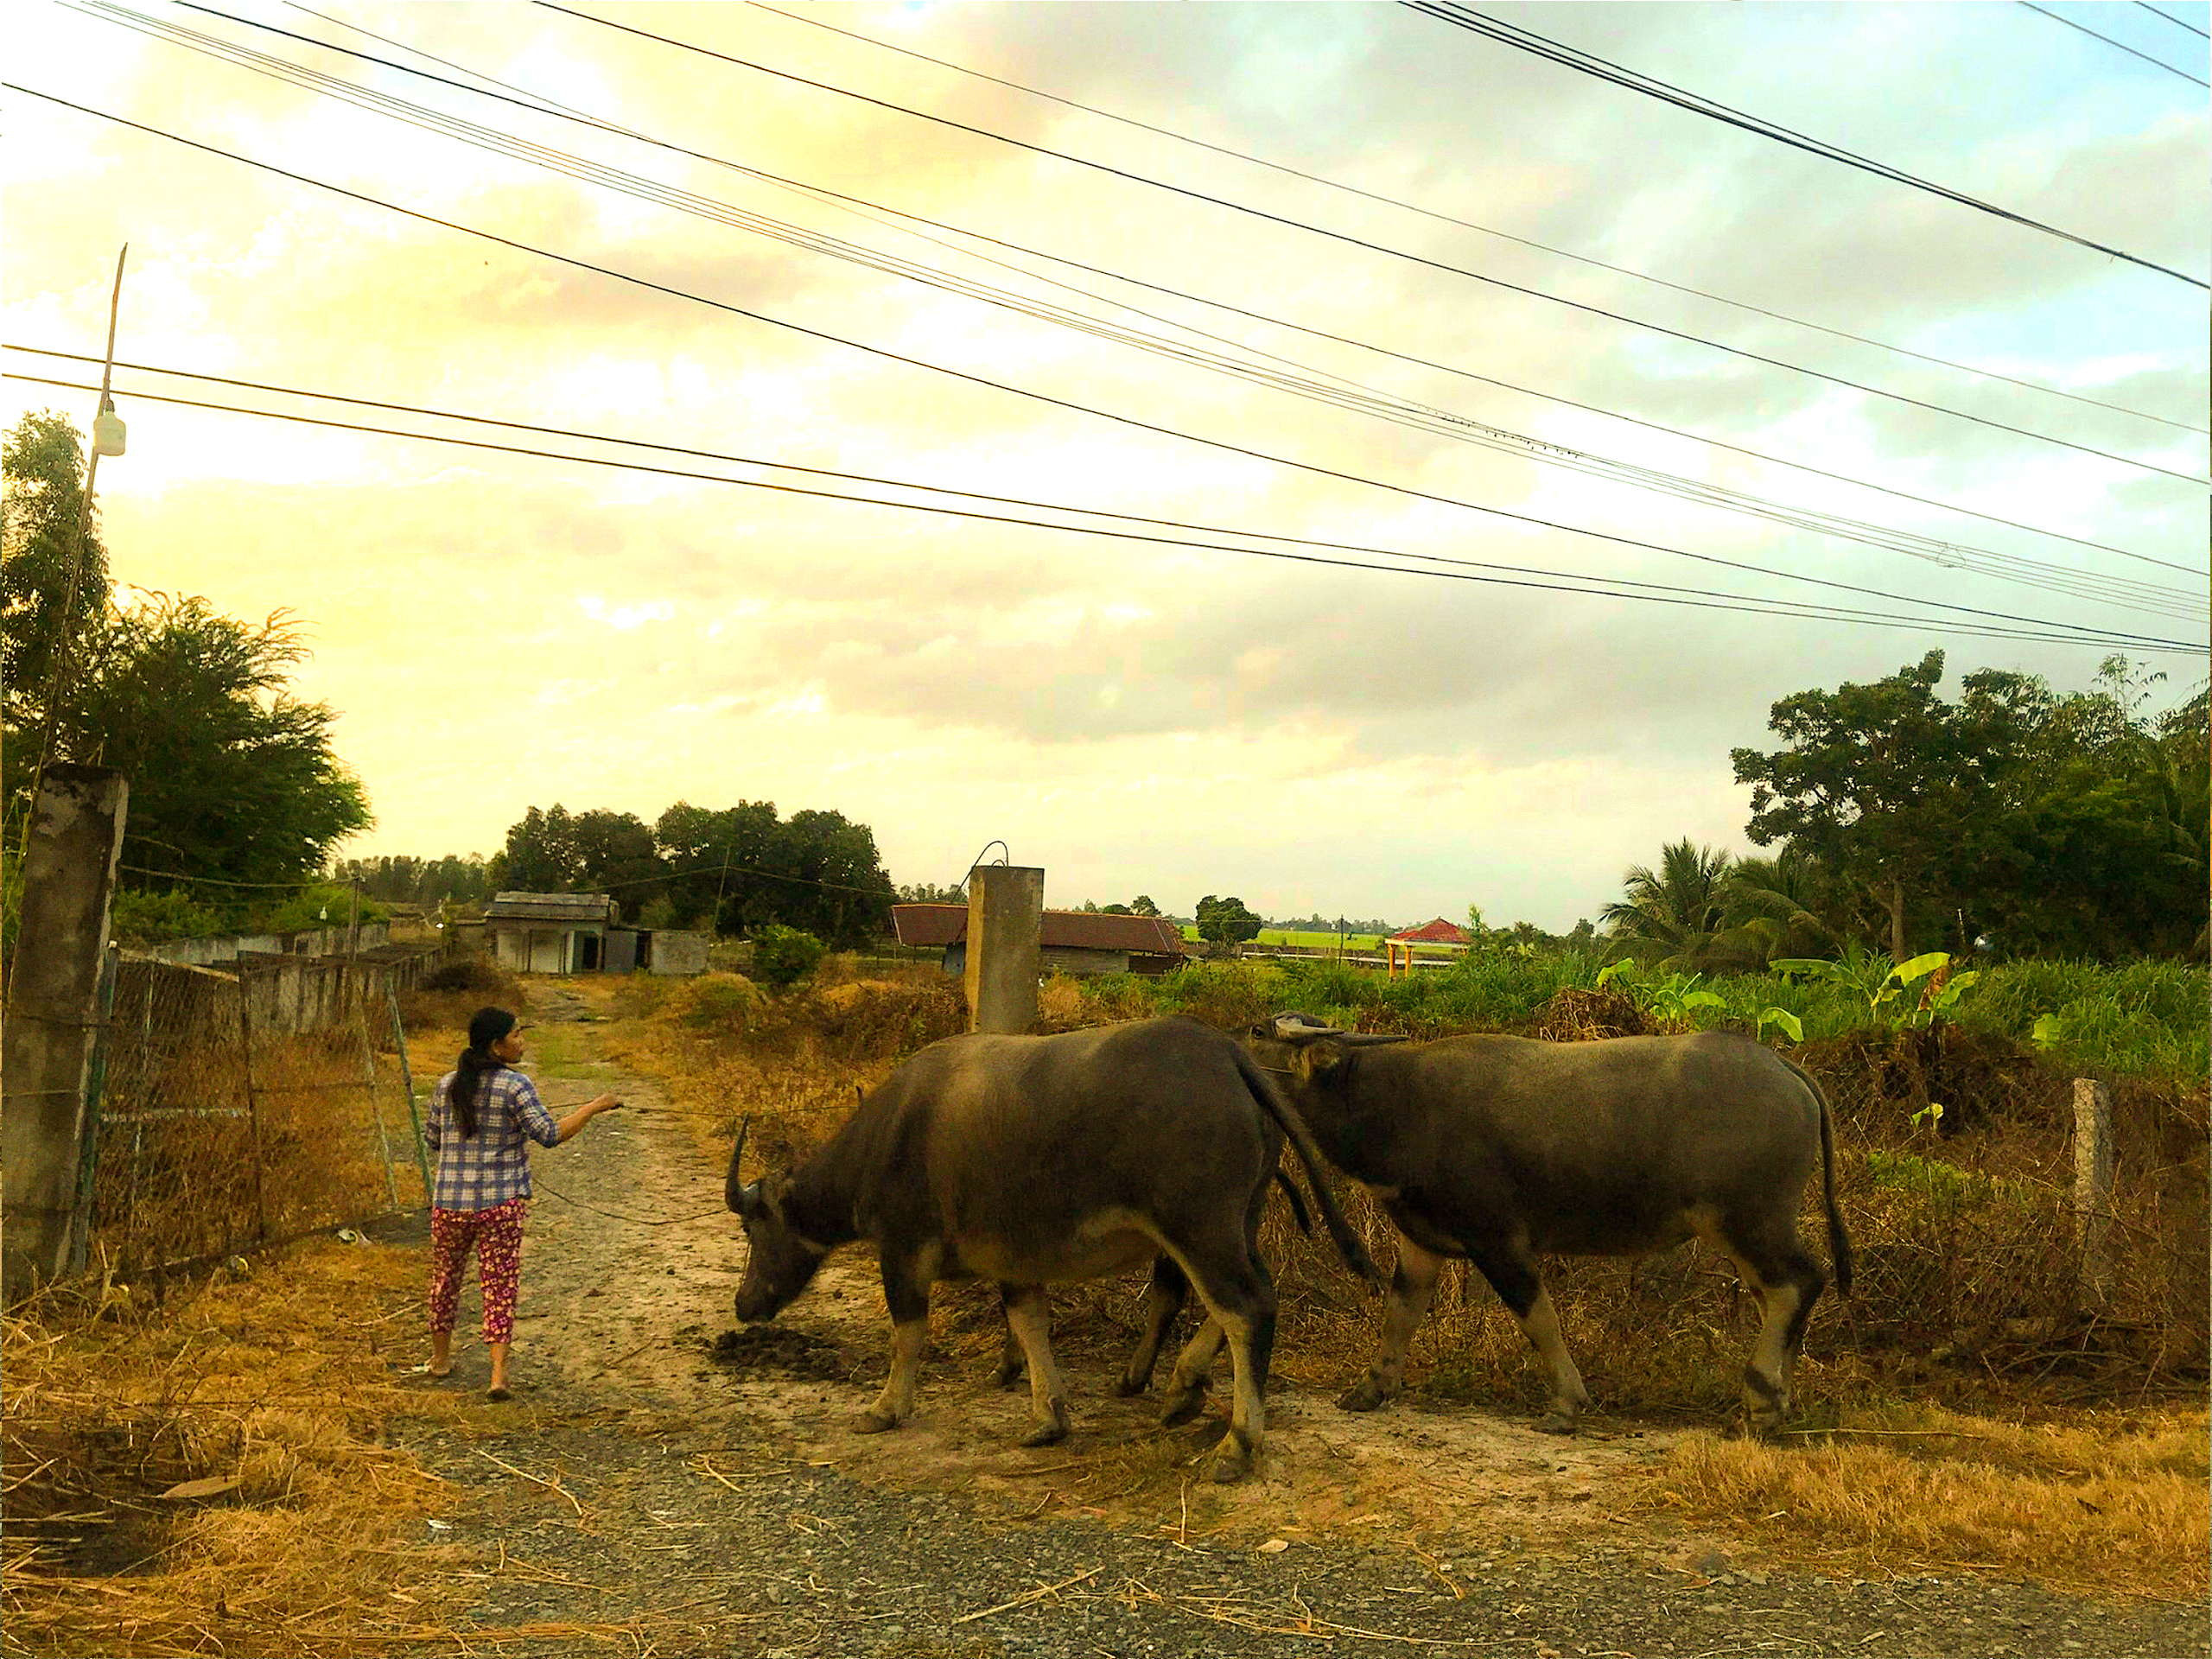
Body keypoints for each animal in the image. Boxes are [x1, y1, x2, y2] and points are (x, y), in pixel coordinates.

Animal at [734, 1021, 1371, 1486]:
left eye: (754, 1230)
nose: (744, 1304)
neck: (892, 1134)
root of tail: (1226, 1053)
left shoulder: (903, 1250)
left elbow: (908, 1333)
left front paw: (885, 1409)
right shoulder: (1013, 1261)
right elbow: (1030, 1323)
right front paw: (1048, 1417)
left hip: (1199, 1228)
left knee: (1245, 1308)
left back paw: (1236, 1444)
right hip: (1241, 1219)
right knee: (1250, 1296)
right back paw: (1182, 1388)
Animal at [1247, 1013, 1849, 1442]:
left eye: (1256, 1032)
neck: (1399, 1103)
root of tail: (1786, 1071)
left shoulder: (1498, 1240)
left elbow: (1537, 1318)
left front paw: (1566, 1405)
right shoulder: (1421, 1239)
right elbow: (1401, 1312)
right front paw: (1370, 1388)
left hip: (1748, 1221)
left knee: (1798, 1283)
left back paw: (1763, 1399)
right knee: (1783, 1294)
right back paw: (1777, 1398)